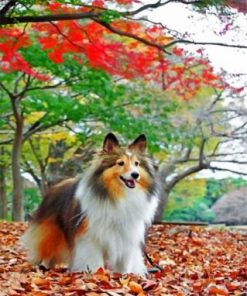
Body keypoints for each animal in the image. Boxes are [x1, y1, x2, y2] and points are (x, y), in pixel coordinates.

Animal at [22, 133, 159, 274]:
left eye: (137, 164)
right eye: (120, 163)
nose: (135, 175)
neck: (119, 195)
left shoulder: (127, 234)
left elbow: (124, 261)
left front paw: (124, 274)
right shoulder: (89, 235)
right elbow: (94, 260)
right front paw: (97, 273)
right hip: (52, 233)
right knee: (47, 249)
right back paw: (43, 267)